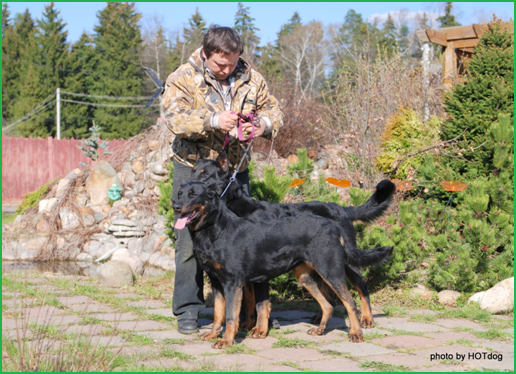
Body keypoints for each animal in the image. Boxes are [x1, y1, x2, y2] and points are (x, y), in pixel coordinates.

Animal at [189, 151, 396, 336]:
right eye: (193, 172)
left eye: (205, 174)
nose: (186, 186)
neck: (232, 206)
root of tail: (342, 208)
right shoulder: (245, 275)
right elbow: (248, 303)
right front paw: (246, 325)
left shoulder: (258, 275)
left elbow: (261, 305)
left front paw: (259, 329)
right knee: (329, 297)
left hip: (344, 265)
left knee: (361, 289)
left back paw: (367, 319)